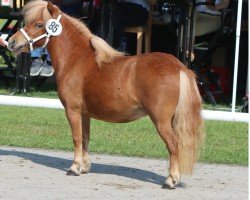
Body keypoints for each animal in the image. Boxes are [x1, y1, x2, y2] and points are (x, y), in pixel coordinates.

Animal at [7, 0, 204, 188]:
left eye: (39, 24)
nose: (11, 42)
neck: (76, 60)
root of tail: (179, 66)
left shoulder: (72, 111)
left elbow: (76, 138)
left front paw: (74, 168)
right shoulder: (84, 114)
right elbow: (85, 138)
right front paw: (84, 167)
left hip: (161, 120)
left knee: (173, 145)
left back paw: (170, 180)